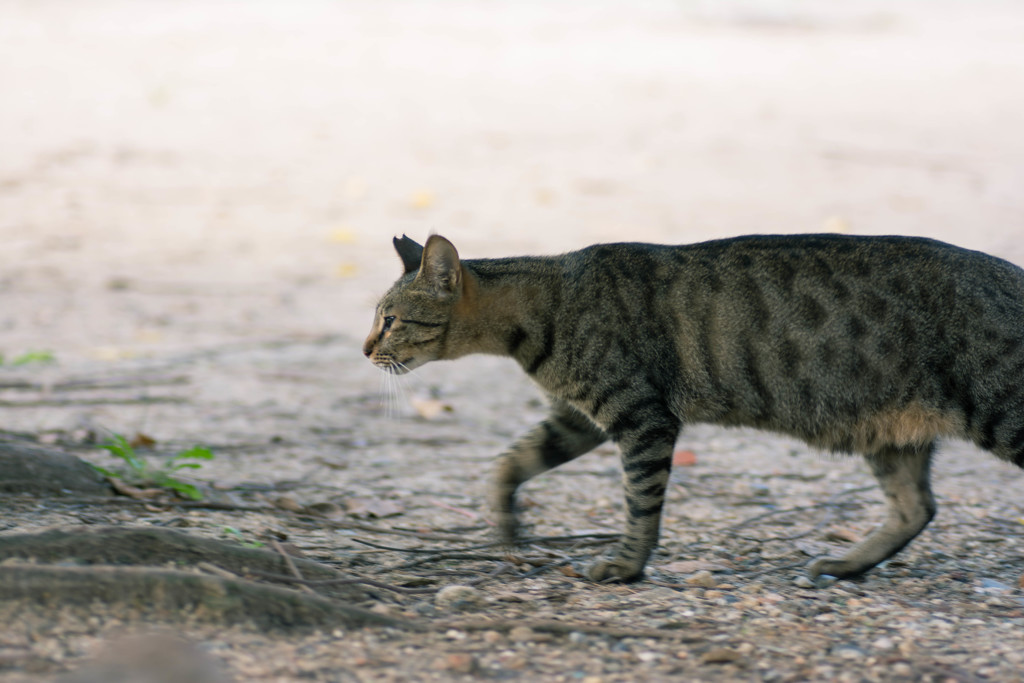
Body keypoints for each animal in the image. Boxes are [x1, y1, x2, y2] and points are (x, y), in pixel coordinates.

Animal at [366, 233, 1024, 581]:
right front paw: (505, 524)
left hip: (1003, 411)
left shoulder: (641, 416)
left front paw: (626, 566)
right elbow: (509, 463)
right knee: (917, 507)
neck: (547, 304)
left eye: (390, 319)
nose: (366, 348)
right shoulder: (577, 419)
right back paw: (846, 565)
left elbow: (640, 503)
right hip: (890, 434)